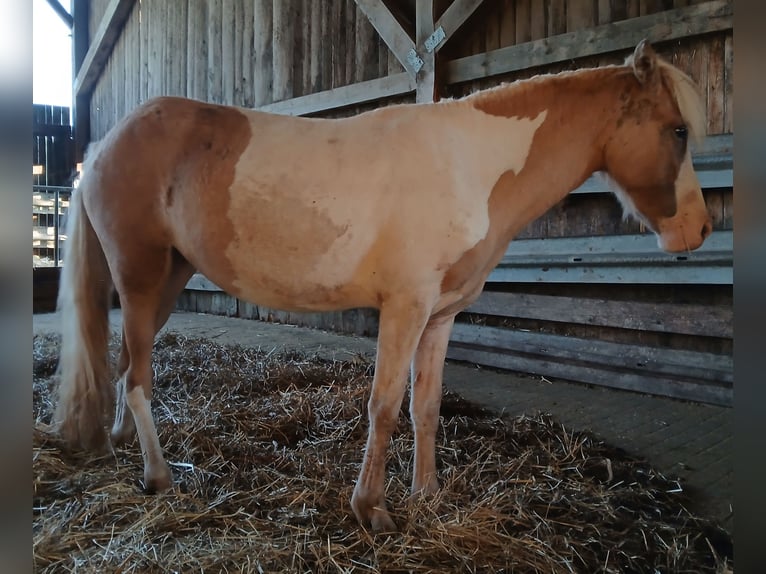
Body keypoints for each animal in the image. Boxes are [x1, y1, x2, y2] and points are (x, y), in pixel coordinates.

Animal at [54, 40, 712, 532]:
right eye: (678, 131)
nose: (699, 229)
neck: (469, 164)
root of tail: (103, 145)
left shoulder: (440, 317)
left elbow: (425, 408)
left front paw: (428, 495)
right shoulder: (405, 308)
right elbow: (385, 406)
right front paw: (371, 509)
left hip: (167, 280)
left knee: (124, 367)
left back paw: (120, 445)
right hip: (141, 280)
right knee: (138, 378)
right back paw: (158, 477)